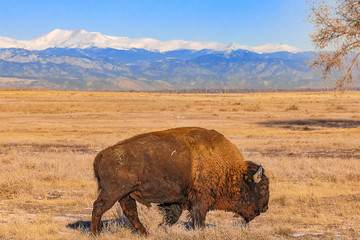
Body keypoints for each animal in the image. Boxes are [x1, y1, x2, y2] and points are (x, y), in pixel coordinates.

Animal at [91, 126, 268, 235]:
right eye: (263, 188)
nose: (265, 208)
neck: (230, 170)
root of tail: (102, 154)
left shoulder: (176, 200)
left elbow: (173, 217)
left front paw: (160, 228)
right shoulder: (200, 201)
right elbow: (198, 219)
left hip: (126, 193)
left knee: (130, 211)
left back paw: (145, 233)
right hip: (113, 192)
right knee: (99, 207)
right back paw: (95, 233)